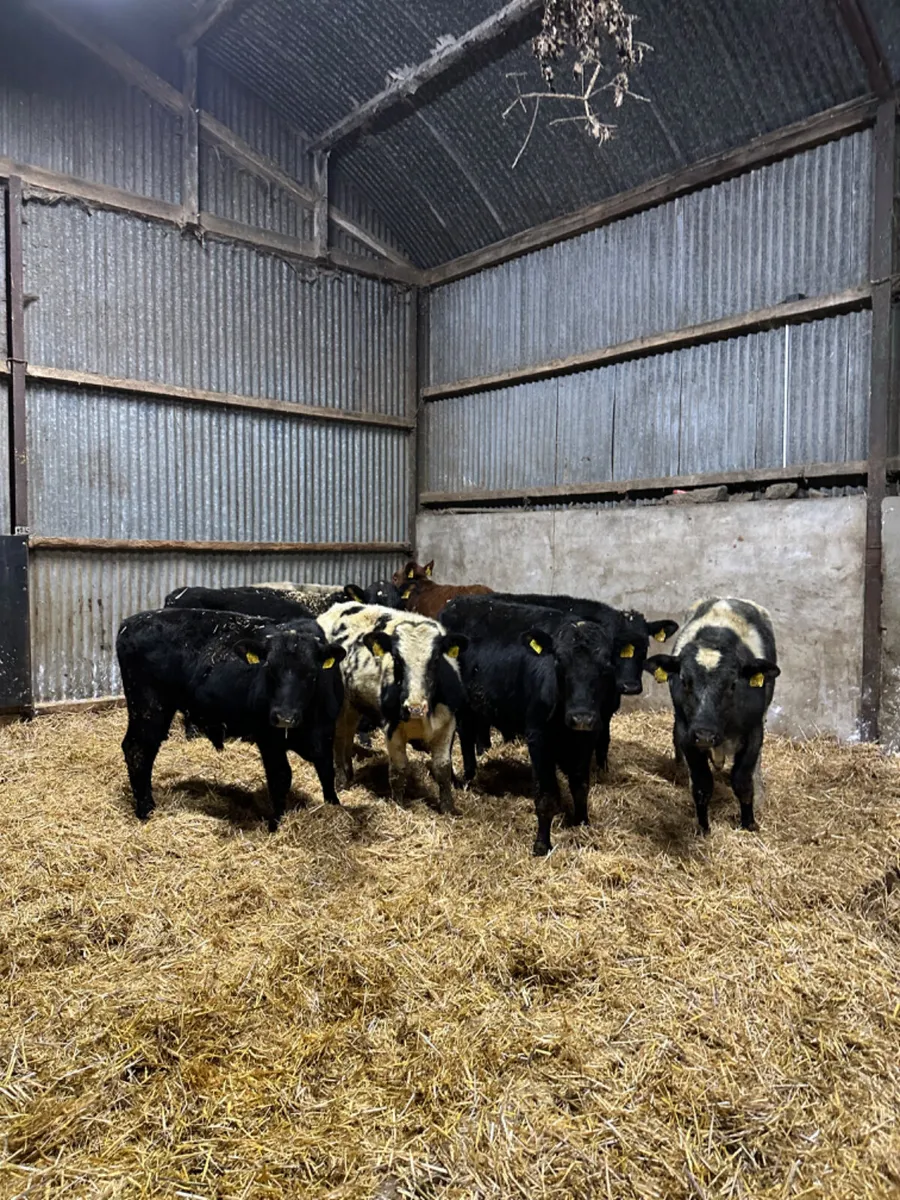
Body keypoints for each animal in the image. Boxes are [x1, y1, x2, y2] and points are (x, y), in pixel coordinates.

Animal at [116, 608, 345, 831]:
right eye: (269, 669)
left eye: (311, 673)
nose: (284, 716)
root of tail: (130, 622)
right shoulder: (269, 740)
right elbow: (280, 778)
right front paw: (276, 825)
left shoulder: (326, 735)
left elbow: (327, 772)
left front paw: (334, 807)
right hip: (147, 707)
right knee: (137, 750)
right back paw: (146, 810)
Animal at [316, 602, 467, 814]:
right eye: (396, 659)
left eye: (437, 659)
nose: (415, 708)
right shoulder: (392, 728)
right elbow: (399, 770)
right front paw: (399, 806)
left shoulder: (447, 725)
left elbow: (443, 769)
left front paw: (447, 807)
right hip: (339, 704)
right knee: (338, 739)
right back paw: (341, 781)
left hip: (353, 704)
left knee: (348, 734)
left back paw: (349, 773)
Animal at [440, 595, 619, 856]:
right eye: (559, 662)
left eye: (606, 665)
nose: (581, 717)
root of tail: (456, 601)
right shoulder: (539, 738)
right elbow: (545, 796)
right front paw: (542, 844)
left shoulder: (587, 738)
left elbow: (580, 785)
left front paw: (581, 822)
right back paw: (454, 779)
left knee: (466, 733)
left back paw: (469, 776)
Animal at [489, 590, 678, 770]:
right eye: (615, 646)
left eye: (645, 645)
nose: (630, 686)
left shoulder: (606, 711)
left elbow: (603, 742)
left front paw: (603, 770)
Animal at [644, 597, 780, 835]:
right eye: (684, 680)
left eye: (733, 684)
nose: (705, 735)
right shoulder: (688, 735)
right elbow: (702, 784)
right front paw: (703, 827)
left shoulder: (754, 732)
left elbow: (743, 781)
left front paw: (749, 822)